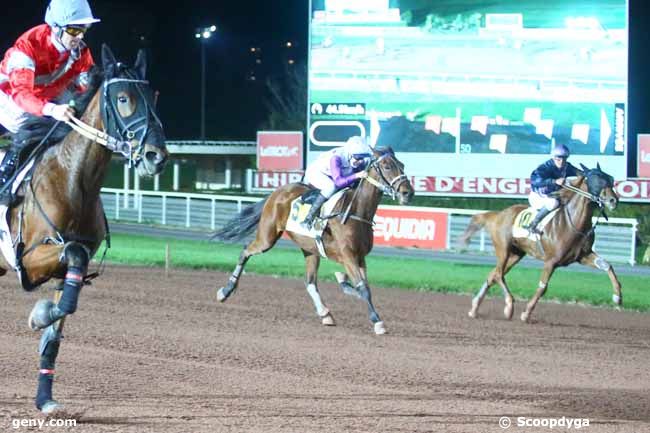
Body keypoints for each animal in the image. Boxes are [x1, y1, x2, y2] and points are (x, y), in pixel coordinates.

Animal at [0, 44, 167, 412]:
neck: (72, 180)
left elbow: (57, 328)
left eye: (154, 95)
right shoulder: (29, 260)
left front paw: (45, 399)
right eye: (123, 98)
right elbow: (73, 253)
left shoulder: (65, 269)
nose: (156, 156)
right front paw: (39, 314)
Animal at [215, 148, 412, 334]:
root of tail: (277, 192)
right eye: (387, 166)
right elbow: (363, 288)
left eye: (402, 165)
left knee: (310, 282)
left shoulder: (360, 256)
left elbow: (364, 286)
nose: (408, 193)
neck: (355, 212)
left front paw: (344, 282)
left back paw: (325, 314)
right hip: (267, 238)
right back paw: (225, 291)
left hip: (310, 249)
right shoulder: (348, 256)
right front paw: (377, 322)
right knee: (245, 251)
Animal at [458, 164, 620, 322]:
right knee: (498, 275)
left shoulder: (583, 256)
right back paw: (509, 306)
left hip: (516, 254)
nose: (613, 201)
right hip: (503, 249)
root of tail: (498, 215)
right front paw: (526, 313)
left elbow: (607, 266)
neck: (573, 223)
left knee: (493, 275)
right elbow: (543, 287)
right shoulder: (551, 261)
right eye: (596, 179)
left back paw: (474, 308)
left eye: (610, 179)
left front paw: (617, 296)